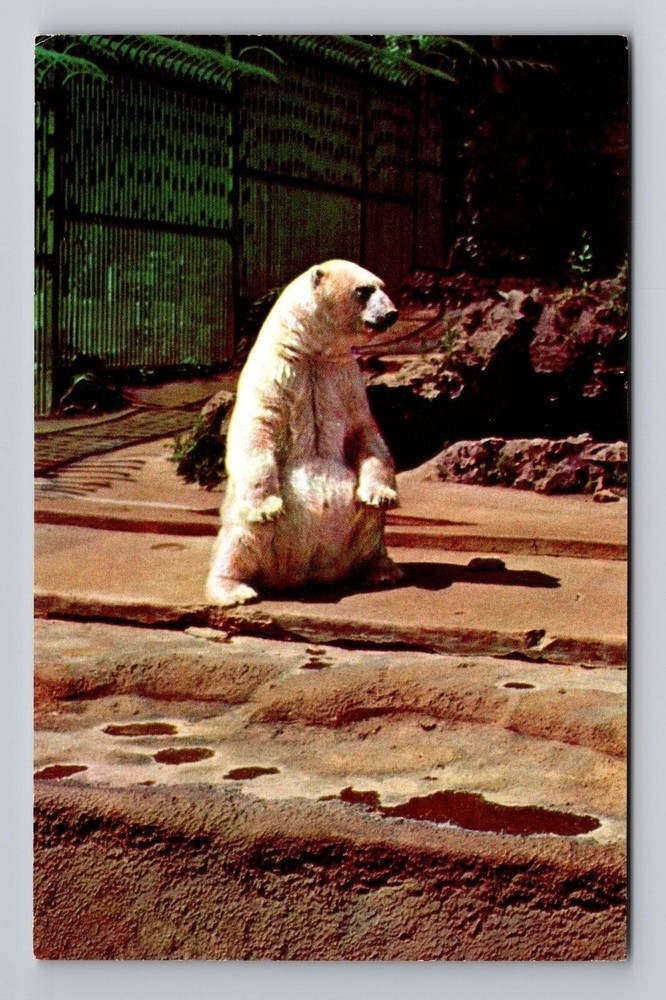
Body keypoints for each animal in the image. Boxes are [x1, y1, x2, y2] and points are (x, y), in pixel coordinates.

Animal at [205, 259, 403, 608]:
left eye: (382, 285)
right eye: (363, 290)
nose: (391, 313)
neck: (309, 350)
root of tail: (299, 574)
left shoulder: (342, 377)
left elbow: (364, 432)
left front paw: (381, 494)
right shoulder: (275, 374)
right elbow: (258, 430)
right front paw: (266, 506)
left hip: (354, 529)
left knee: (370, 524)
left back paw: (382, 570)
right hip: (248, 527)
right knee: (240, 539)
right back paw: (233, 591)